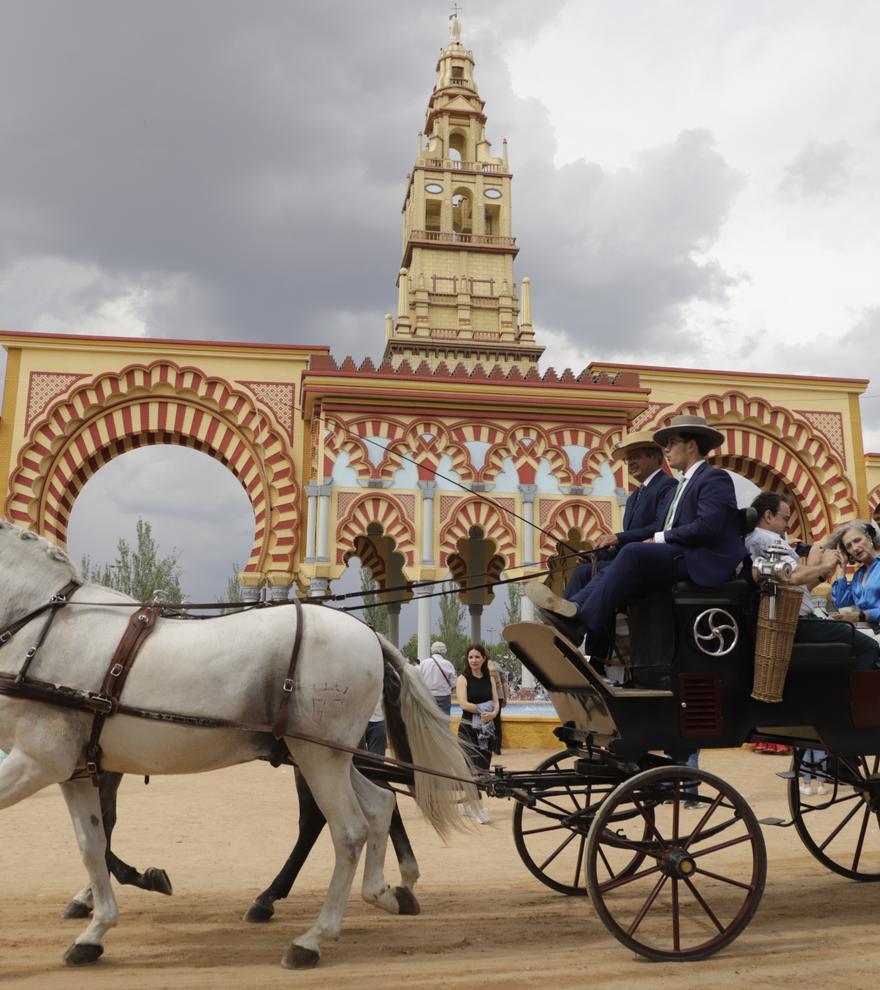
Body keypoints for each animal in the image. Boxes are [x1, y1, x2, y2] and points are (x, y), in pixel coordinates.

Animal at [0, 524, 474, 972]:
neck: (43, 629)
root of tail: (368, 632)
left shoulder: (37, 761)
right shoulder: (75, 769)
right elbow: (92, 843)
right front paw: (95, 931)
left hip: (318, 756)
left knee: (347, 830)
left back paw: (311, 938)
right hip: (330, 756)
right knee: (379, 805)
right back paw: (384, 892)